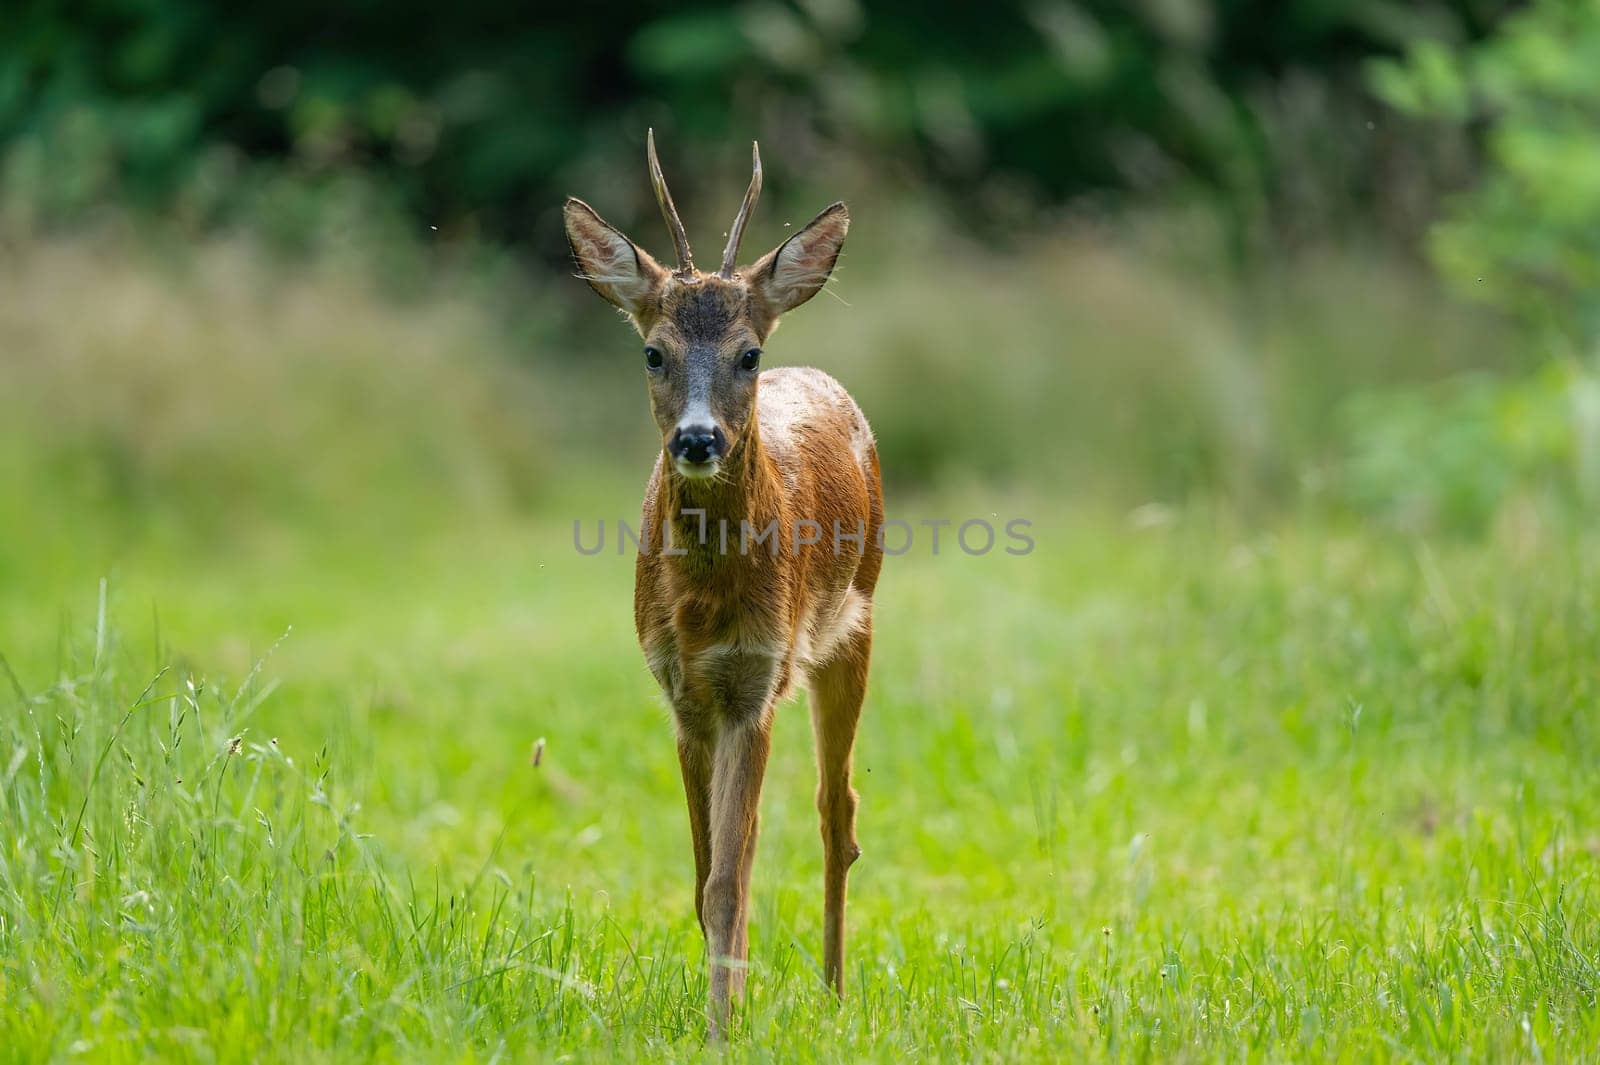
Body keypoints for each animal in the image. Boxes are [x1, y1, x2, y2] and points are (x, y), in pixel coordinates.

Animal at [566, 128, 889, 1029]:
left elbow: (730, 880)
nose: (698, 439)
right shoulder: (681, 691)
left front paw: (724, 1025)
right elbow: (705, 877)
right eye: (653, 351)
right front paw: (723, 1010)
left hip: (854, 626)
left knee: (837, 814)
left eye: (748, 353)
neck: (706, 606)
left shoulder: (756, 682)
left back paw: (834, 992)